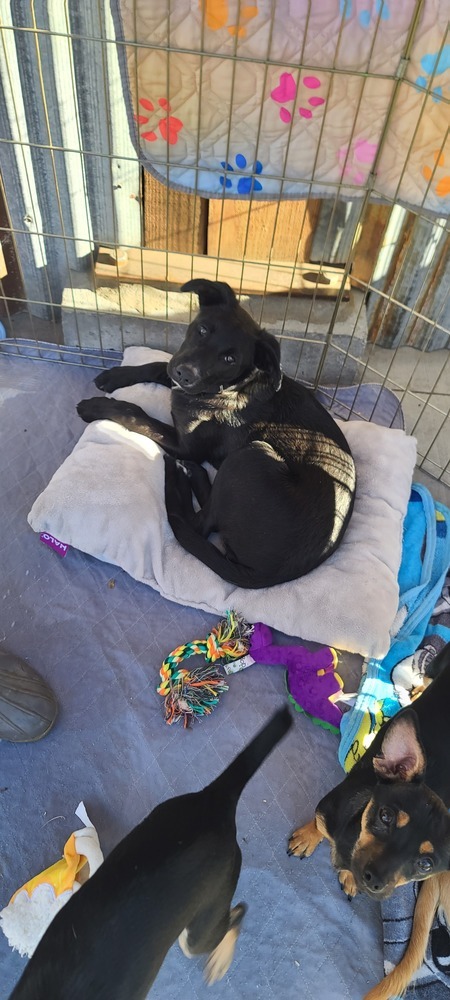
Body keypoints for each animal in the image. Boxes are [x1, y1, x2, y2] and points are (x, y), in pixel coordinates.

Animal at [77, 278, 356, 588]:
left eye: (229, 358)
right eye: (202, 330)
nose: (186, 374)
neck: (232, 387)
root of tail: (269, 576)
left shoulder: (186, 445)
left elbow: (135, 413)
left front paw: (95, 407)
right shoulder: (178, 377)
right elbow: (158, 365)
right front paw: (115, 375)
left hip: (250, 456)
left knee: (198, 524)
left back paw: (181, 478)